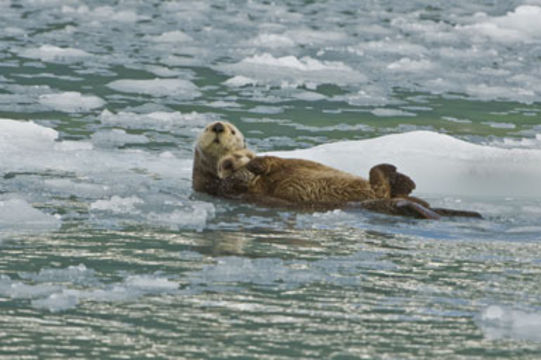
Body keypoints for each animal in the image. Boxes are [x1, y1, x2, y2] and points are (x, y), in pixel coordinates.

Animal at [192, 121, 478, 219]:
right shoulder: (226, 186)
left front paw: (256, 161)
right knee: (383, 188)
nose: (218, 126)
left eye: (232, 130)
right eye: (207, 128)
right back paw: (392, 174)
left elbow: (274, 161)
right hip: (375, 199)